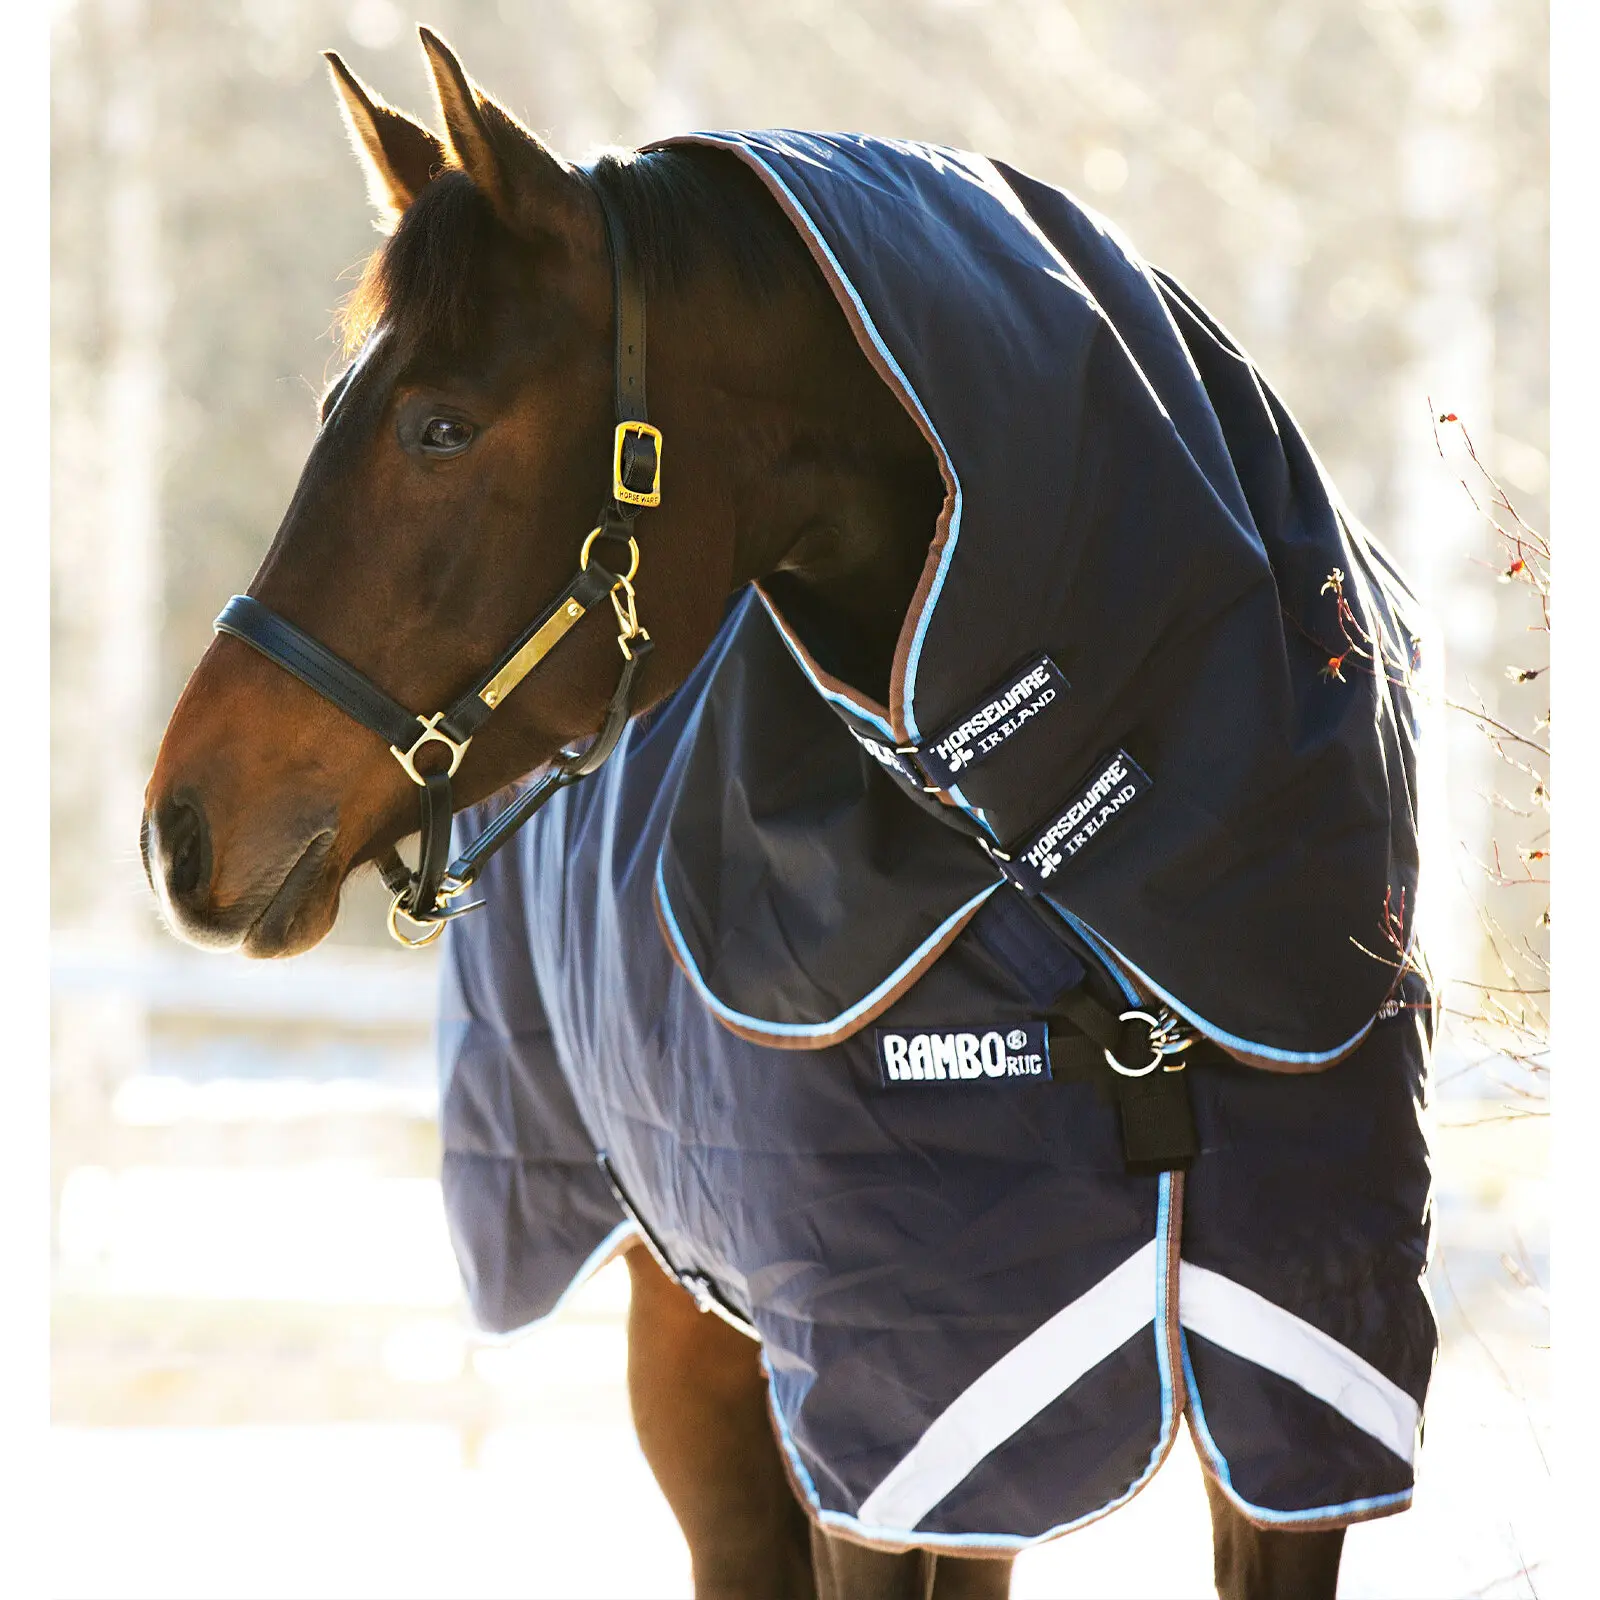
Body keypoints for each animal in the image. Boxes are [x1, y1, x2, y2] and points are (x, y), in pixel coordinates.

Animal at [144, 29, 1434, 1599]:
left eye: (439, 426)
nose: (180, 825)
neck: (1062, 870)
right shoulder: (887, 1418)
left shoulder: (1303, 1399)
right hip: (695, 1350)